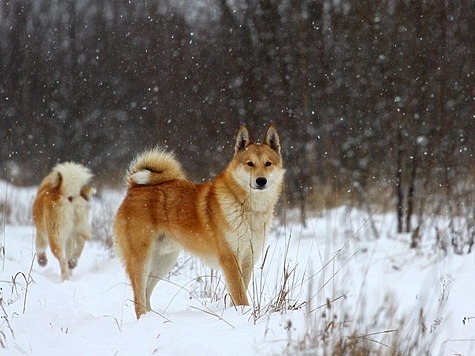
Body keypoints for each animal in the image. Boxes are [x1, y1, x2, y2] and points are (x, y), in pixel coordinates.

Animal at [114, 124, 286, 318]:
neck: (246, 208)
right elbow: (241, 296)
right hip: (140, 260)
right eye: (250, 164)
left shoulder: (248, 260)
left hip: (163, 261)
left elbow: (239, 293)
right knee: (138, 298)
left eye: (268, 163)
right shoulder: (230, 260)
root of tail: (134, 188)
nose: (261, 180)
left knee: (146, 293)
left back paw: (150, 319)